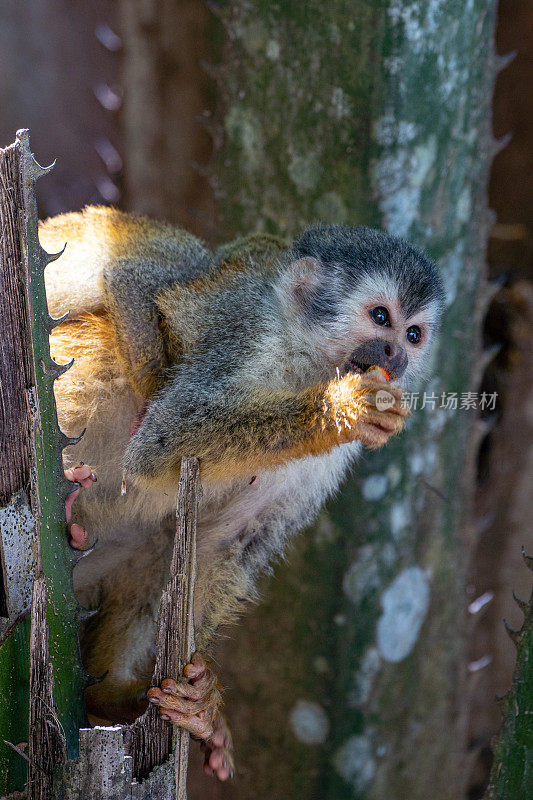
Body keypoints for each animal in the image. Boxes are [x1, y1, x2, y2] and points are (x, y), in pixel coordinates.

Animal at [39, 208, 442, 780]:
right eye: (381, 318)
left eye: (413, 334)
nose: (395, 354)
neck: (307, 365)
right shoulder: (247, 340)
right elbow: (160, 445)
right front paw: (339, 410)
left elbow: (226, 542)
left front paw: (196, 695)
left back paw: (118, 696)